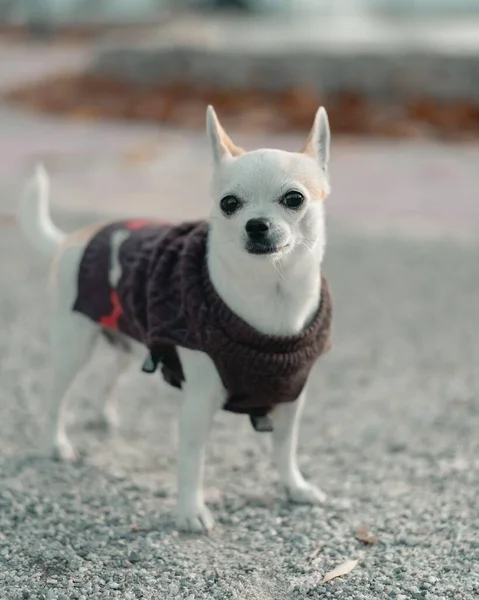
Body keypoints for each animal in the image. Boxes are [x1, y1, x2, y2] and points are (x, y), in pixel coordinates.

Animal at [18, 105, 334, 532]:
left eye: (294, 198)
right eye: (229, 203)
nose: (256, 224)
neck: (272, 291)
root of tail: (77, 237)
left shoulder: (289, 397)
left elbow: (284, 449)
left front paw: (295, 488)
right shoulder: (199, 402)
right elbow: (192, 460)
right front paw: (190, 512)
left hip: (128, 344)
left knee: (109, 377)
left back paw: (104, 415)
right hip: (74, 346)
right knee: (56, 396)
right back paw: (56, 444)